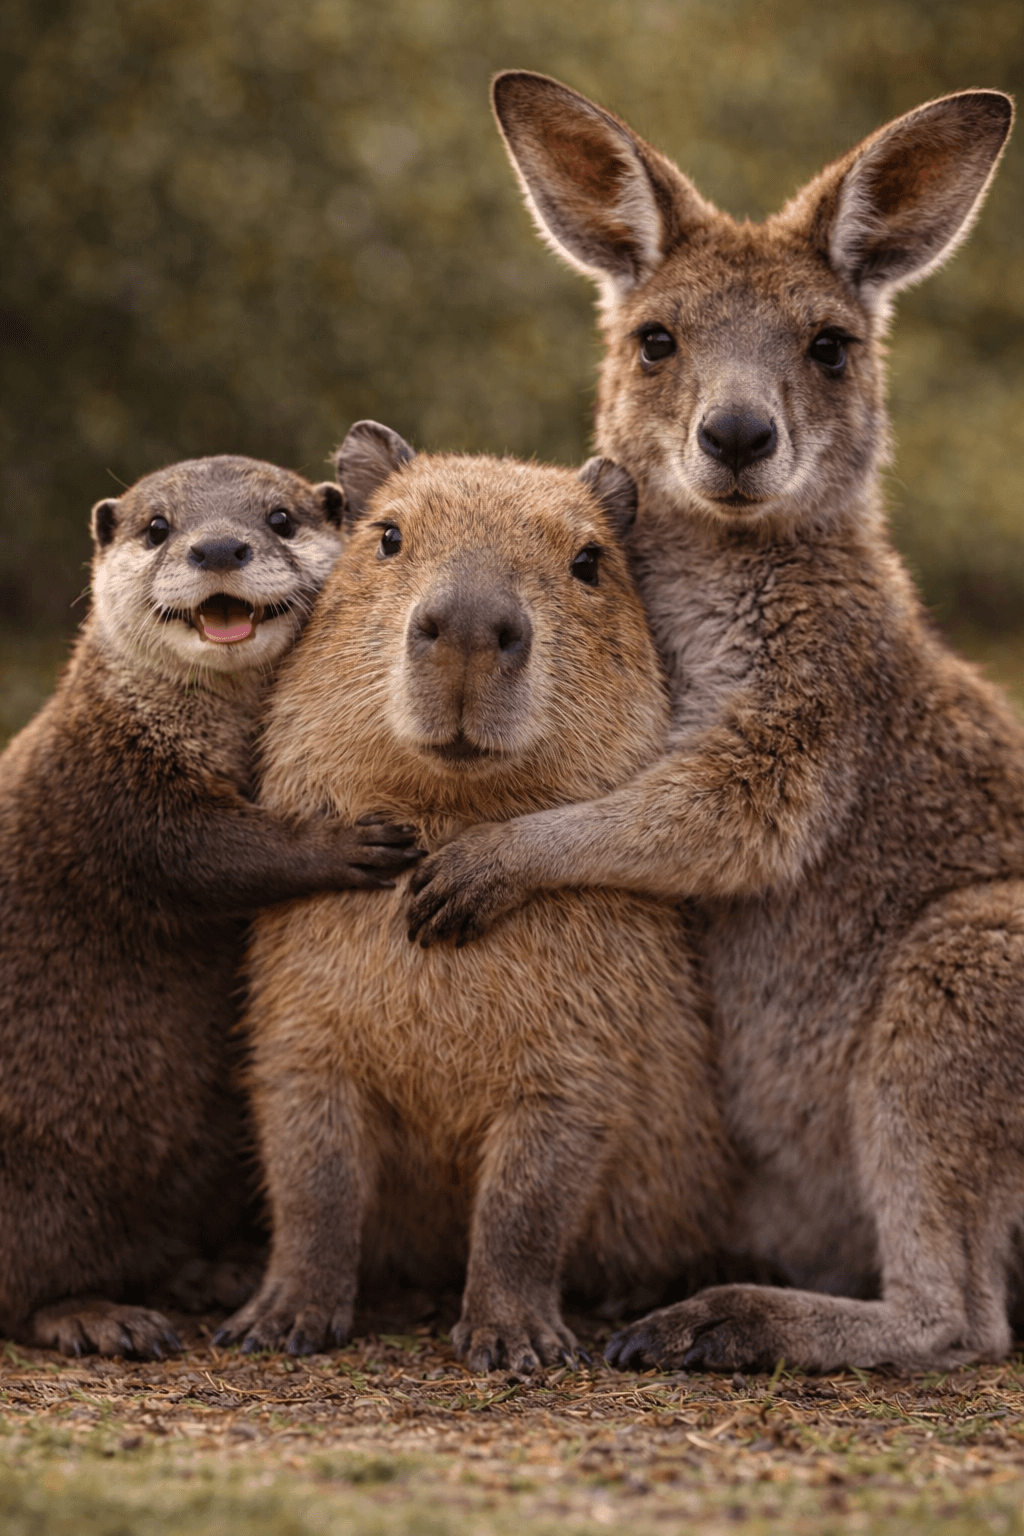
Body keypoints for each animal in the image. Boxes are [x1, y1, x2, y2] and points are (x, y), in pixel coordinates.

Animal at [0, 454, 421, 1358]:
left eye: (279, 519)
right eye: (158, 527)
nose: (220, 547)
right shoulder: (116, 791)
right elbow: (207, 855)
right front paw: (344, 843)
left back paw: (210, 1275)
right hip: (35, 1184)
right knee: (25, 1291)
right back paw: (100, 1318)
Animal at [215, 423, 734, 1373]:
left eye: (590, 560)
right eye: (386, 535)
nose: (464, 625)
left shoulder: (582, 1056)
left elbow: (530, 1199)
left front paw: (516, 1340)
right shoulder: (299, 1031)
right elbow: (313, 1177)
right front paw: (278, 1320)